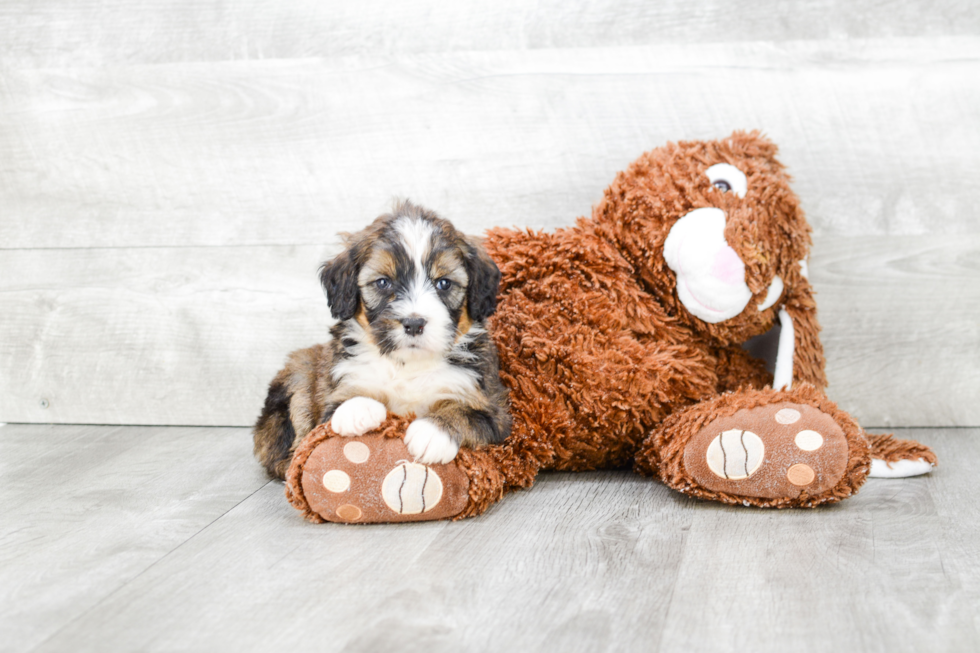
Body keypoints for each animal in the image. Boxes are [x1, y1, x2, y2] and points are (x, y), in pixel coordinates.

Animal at [253, 200, 512, 478]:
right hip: (299, 374)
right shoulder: (333, 397)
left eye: (444, 283)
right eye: (383, 282)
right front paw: (358, 408)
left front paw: (433, 431)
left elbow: (467, 413)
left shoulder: (494, 409)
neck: (407, 364)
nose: (414, 323)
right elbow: (342, 403)